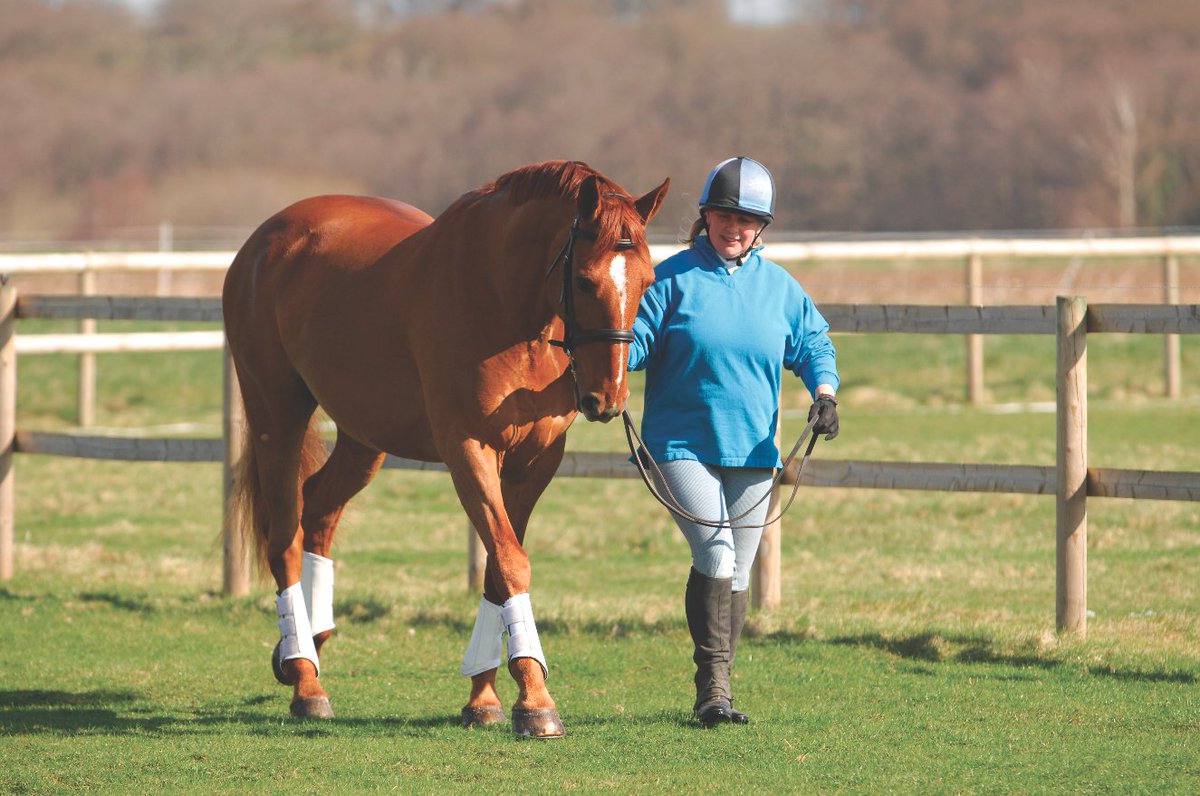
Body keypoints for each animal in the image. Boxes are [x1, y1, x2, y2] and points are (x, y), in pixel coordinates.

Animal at [222, 161, 669, 738]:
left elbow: (497, 570)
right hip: (276, 416)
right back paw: (304, 677)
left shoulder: (535, 462)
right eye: (585, 280)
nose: (607, 398)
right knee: (284, 537)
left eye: (647, 282)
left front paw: (484, 695)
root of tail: (264, 240)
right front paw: (535, 699)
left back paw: (307, 643)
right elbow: (510, 561)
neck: (504, 303)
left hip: (364, 437)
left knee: (317, 509)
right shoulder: (469, 450)